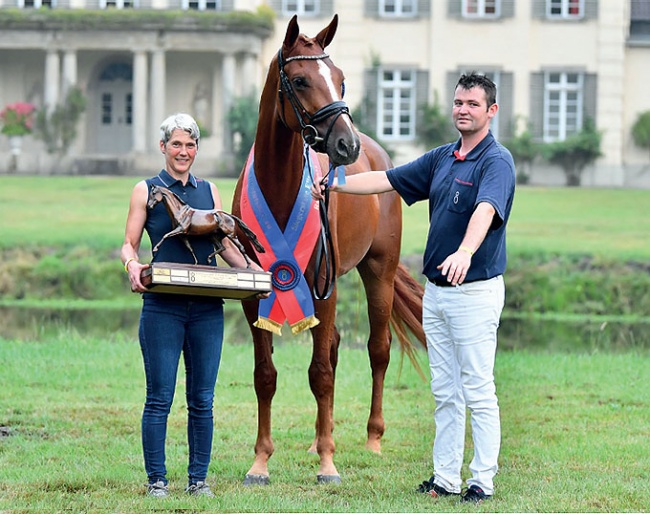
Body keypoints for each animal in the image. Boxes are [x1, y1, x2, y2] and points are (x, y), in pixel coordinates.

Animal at [230, 14, 422, 482]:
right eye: (300, 80)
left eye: (341, 79)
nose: (345, 145)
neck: (280, 191)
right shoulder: (254, 298)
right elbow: (265, 375)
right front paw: (260, 461)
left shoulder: (324, 286)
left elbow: (320, 373)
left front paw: (328, 465)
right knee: (333, 345)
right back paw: (321, 437)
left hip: (377, 272)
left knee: (376, 350)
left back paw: (370, 438)